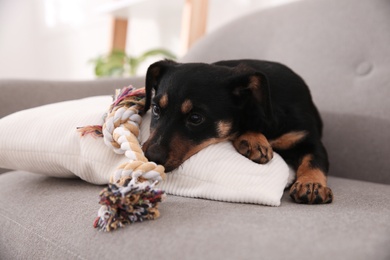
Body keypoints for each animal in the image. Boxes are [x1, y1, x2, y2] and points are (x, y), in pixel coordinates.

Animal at [142, 60, 332, 204]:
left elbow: (314, 160)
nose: (150, 157)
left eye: (196, 118)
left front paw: (312, 185)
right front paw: (254, 140)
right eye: (156, 109)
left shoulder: (309, 139)